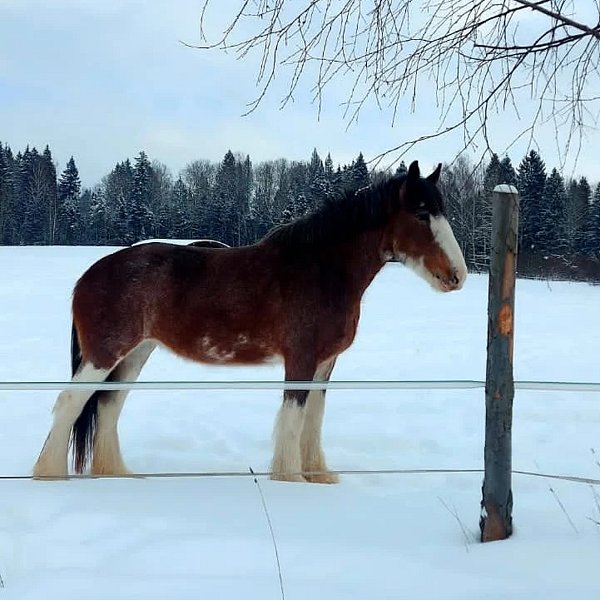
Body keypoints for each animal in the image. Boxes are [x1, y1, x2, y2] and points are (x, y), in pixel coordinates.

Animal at [34, 159, 468, 482]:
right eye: (422, 213)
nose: (458, 276)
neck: (320, 268)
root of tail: (90, 274)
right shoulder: (301, 358)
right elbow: (293, 418)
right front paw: (291, 479)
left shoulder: (325, 363)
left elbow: (314, 418)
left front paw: (318, 476)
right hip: (104, 354)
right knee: (70, 402)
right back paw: (50, 475)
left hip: (136, 354)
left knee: (108, 405)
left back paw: (117, 475)